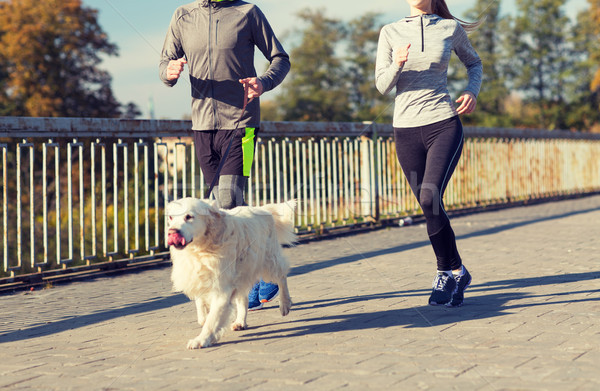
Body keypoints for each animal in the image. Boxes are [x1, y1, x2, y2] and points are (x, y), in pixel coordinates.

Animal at [165, 199, 296, 350]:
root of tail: (263, 209)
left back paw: (285, 304)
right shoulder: (198, 277)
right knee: (243, 299)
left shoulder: (222, 289)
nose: (172, 232)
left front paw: (201, 340)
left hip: (269, 261)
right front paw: (203, 319)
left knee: (282, 276)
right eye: (171, 218)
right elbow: (201, 305)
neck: (201, 249)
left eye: (188, 217)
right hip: (242, 274)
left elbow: (213, 319)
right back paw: (240, 322)